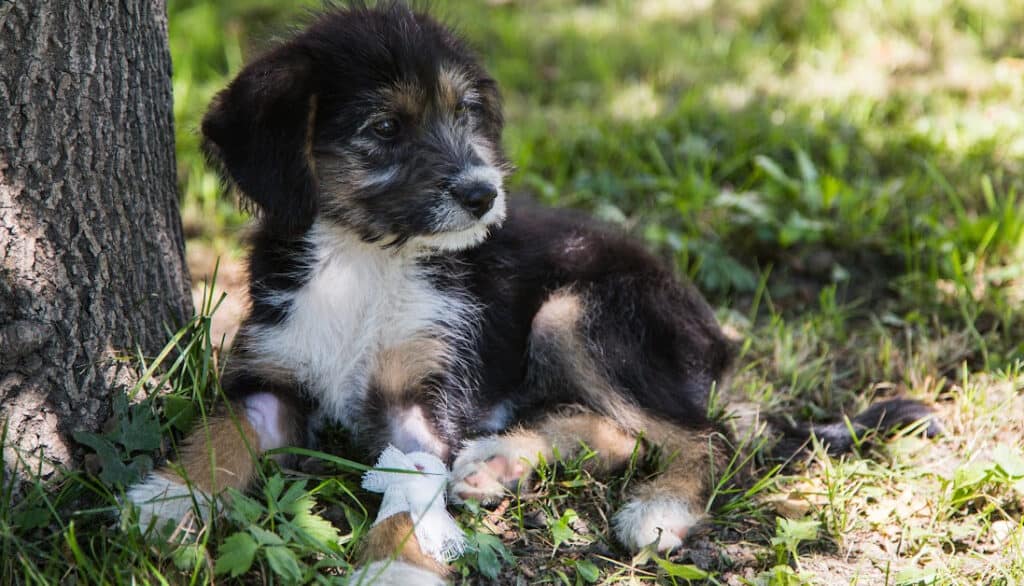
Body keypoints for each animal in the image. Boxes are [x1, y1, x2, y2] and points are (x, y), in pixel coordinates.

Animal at [132, 1, 937, 581]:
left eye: (465, 113)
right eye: (385, 128)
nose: (484, 194)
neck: (368, 258)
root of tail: (713, 336)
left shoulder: (425, 401)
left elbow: (406, 491)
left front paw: (396, 569)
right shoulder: (271, 373)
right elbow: (220, 434)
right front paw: (166, 498)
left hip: (579, 311)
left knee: (707, 435)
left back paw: (659, 509)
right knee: (626, 432)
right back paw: (501, 462)